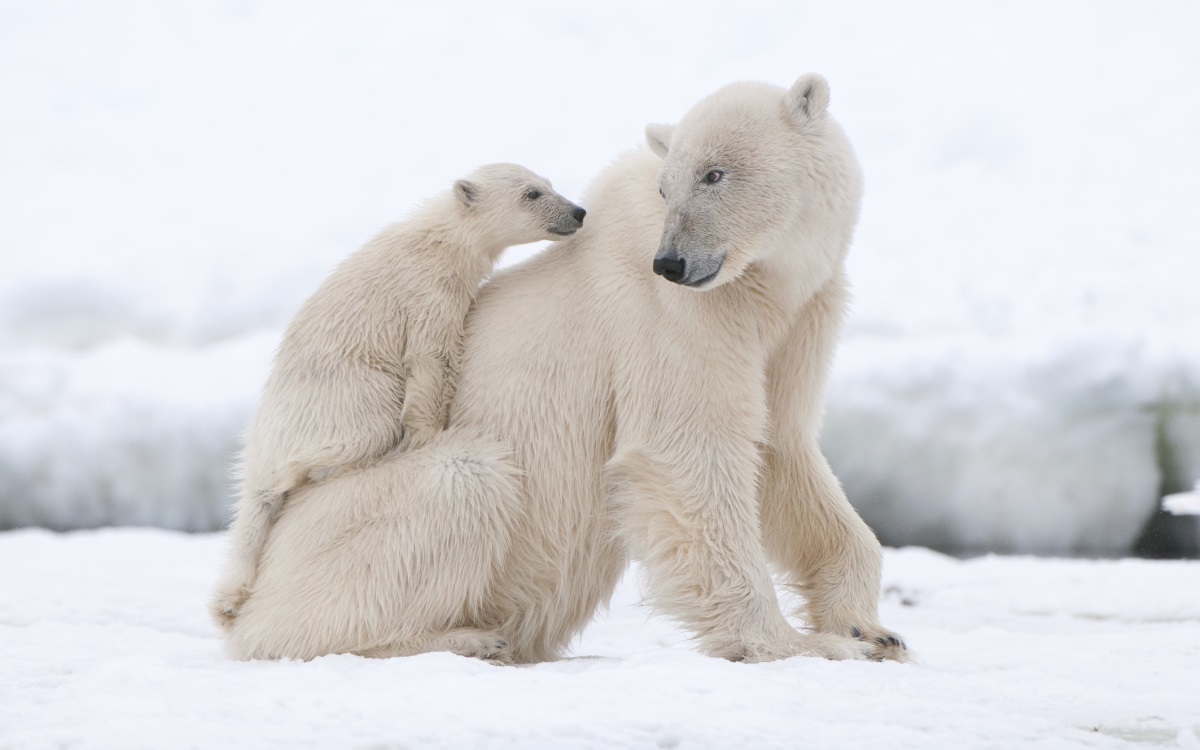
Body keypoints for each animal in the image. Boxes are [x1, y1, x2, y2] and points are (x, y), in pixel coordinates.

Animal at [216, 163, 590, 624]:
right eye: (532, 193)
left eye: (549, 184)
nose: (578, 212)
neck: (440, 238)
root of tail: (259, 451)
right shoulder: (429, 292)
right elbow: (430, 358)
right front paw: (428, 434)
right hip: (343, 399)